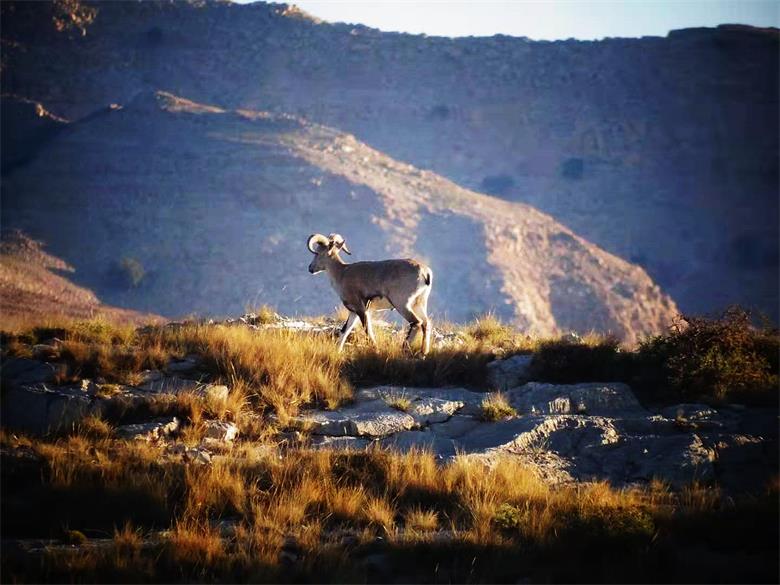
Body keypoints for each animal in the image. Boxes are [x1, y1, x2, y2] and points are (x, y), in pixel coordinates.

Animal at [308, 232, 436, 352]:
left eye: (317, 253)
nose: (310, 268)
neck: (342, 273)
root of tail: (425, 273)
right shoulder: (354, 312)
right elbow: (345, 331)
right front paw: (338, 351)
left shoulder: (361, 309)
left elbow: (368, 332)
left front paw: (376, 349)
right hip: (419, 303)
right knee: (426, 323)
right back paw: (423, 352)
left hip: (402, 304)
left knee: (416, 322)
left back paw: (404, 347)